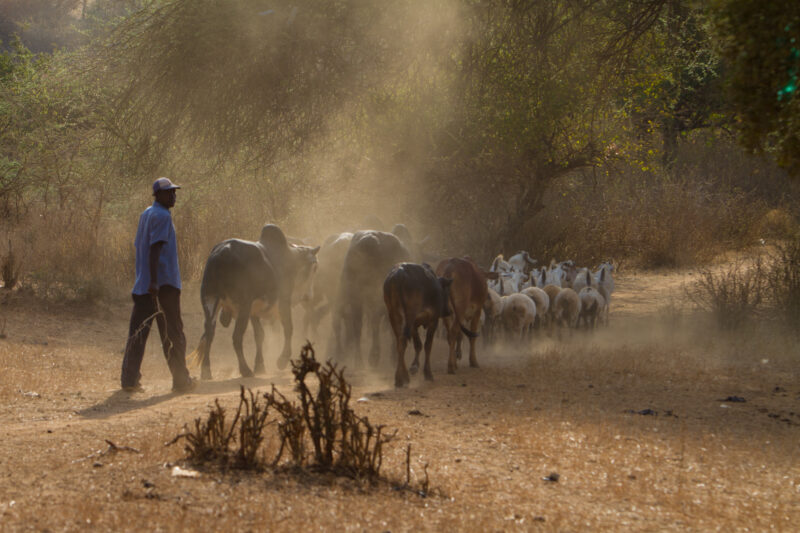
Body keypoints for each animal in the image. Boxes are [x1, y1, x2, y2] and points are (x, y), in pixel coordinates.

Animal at [190, 224, 319, 380]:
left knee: (209, 333)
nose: (309, 296)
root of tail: (221, 254)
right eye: (314, 267)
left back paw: (206, 370)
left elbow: (260, 335)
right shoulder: (283, 301)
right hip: (242, 307)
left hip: (210, 299)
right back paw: (245, 370)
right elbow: (288, 328)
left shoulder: (254, 311)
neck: (289, 259)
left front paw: (260, 365)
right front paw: (282, 360)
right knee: (236, 337)